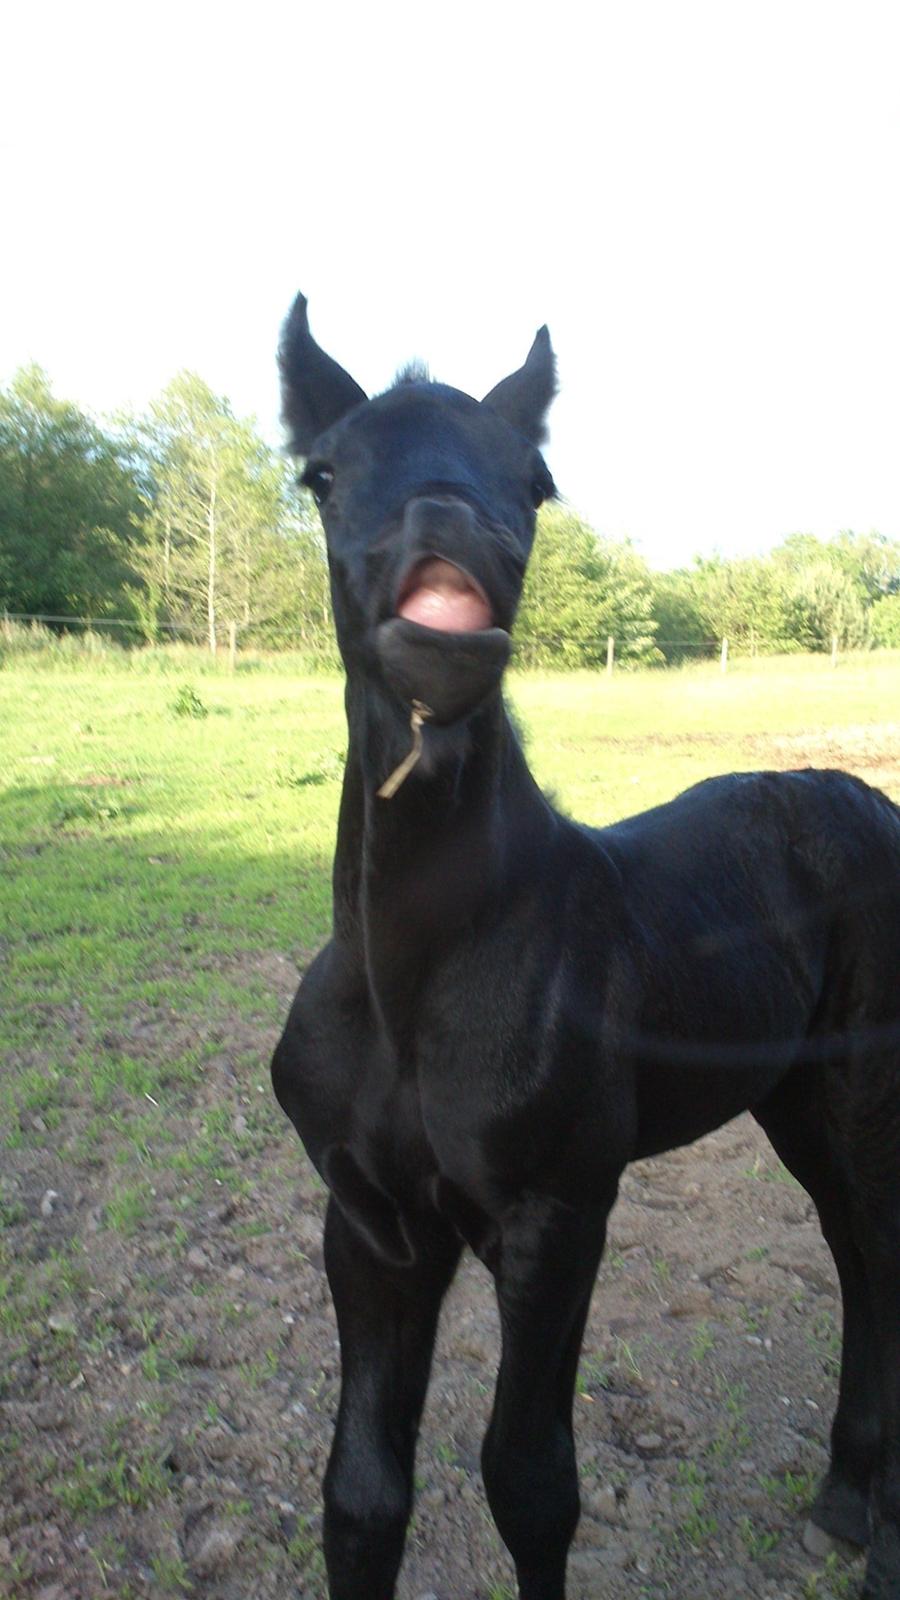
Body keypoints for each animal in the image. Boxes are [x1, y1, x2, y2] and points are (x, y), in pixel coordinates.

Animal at [272, 294, 896, 1593]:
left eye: (536, 479)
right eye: (325, 470)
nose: (448, 535)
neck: (413, 989)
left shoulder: (556, 1218)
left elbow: (529, 1480)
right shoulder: (371, 1227)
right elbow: (362, 1495)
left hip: (869, 1088)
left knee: (889, 1253)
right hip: (798, 1098)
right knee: (857, 1255)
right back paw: (847, 1493)